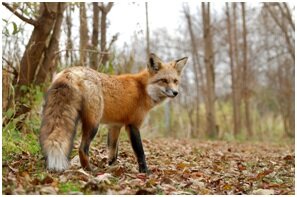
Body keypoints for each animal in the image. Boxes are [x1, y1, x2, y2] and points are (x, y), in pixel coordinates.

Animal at [39, 53, 187, 173]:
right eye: (164, 80)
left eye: (175, 81)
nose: (175, 93)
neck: (143, 89)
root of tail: (70, 71)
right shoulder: (132, 125)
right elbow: (140, 152)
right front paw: (145, 172)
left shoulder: (115, 125)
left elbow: (113, 151)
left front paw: (112, 167)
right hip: (94, 124)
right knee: (82, 149)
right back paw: (89, 170)